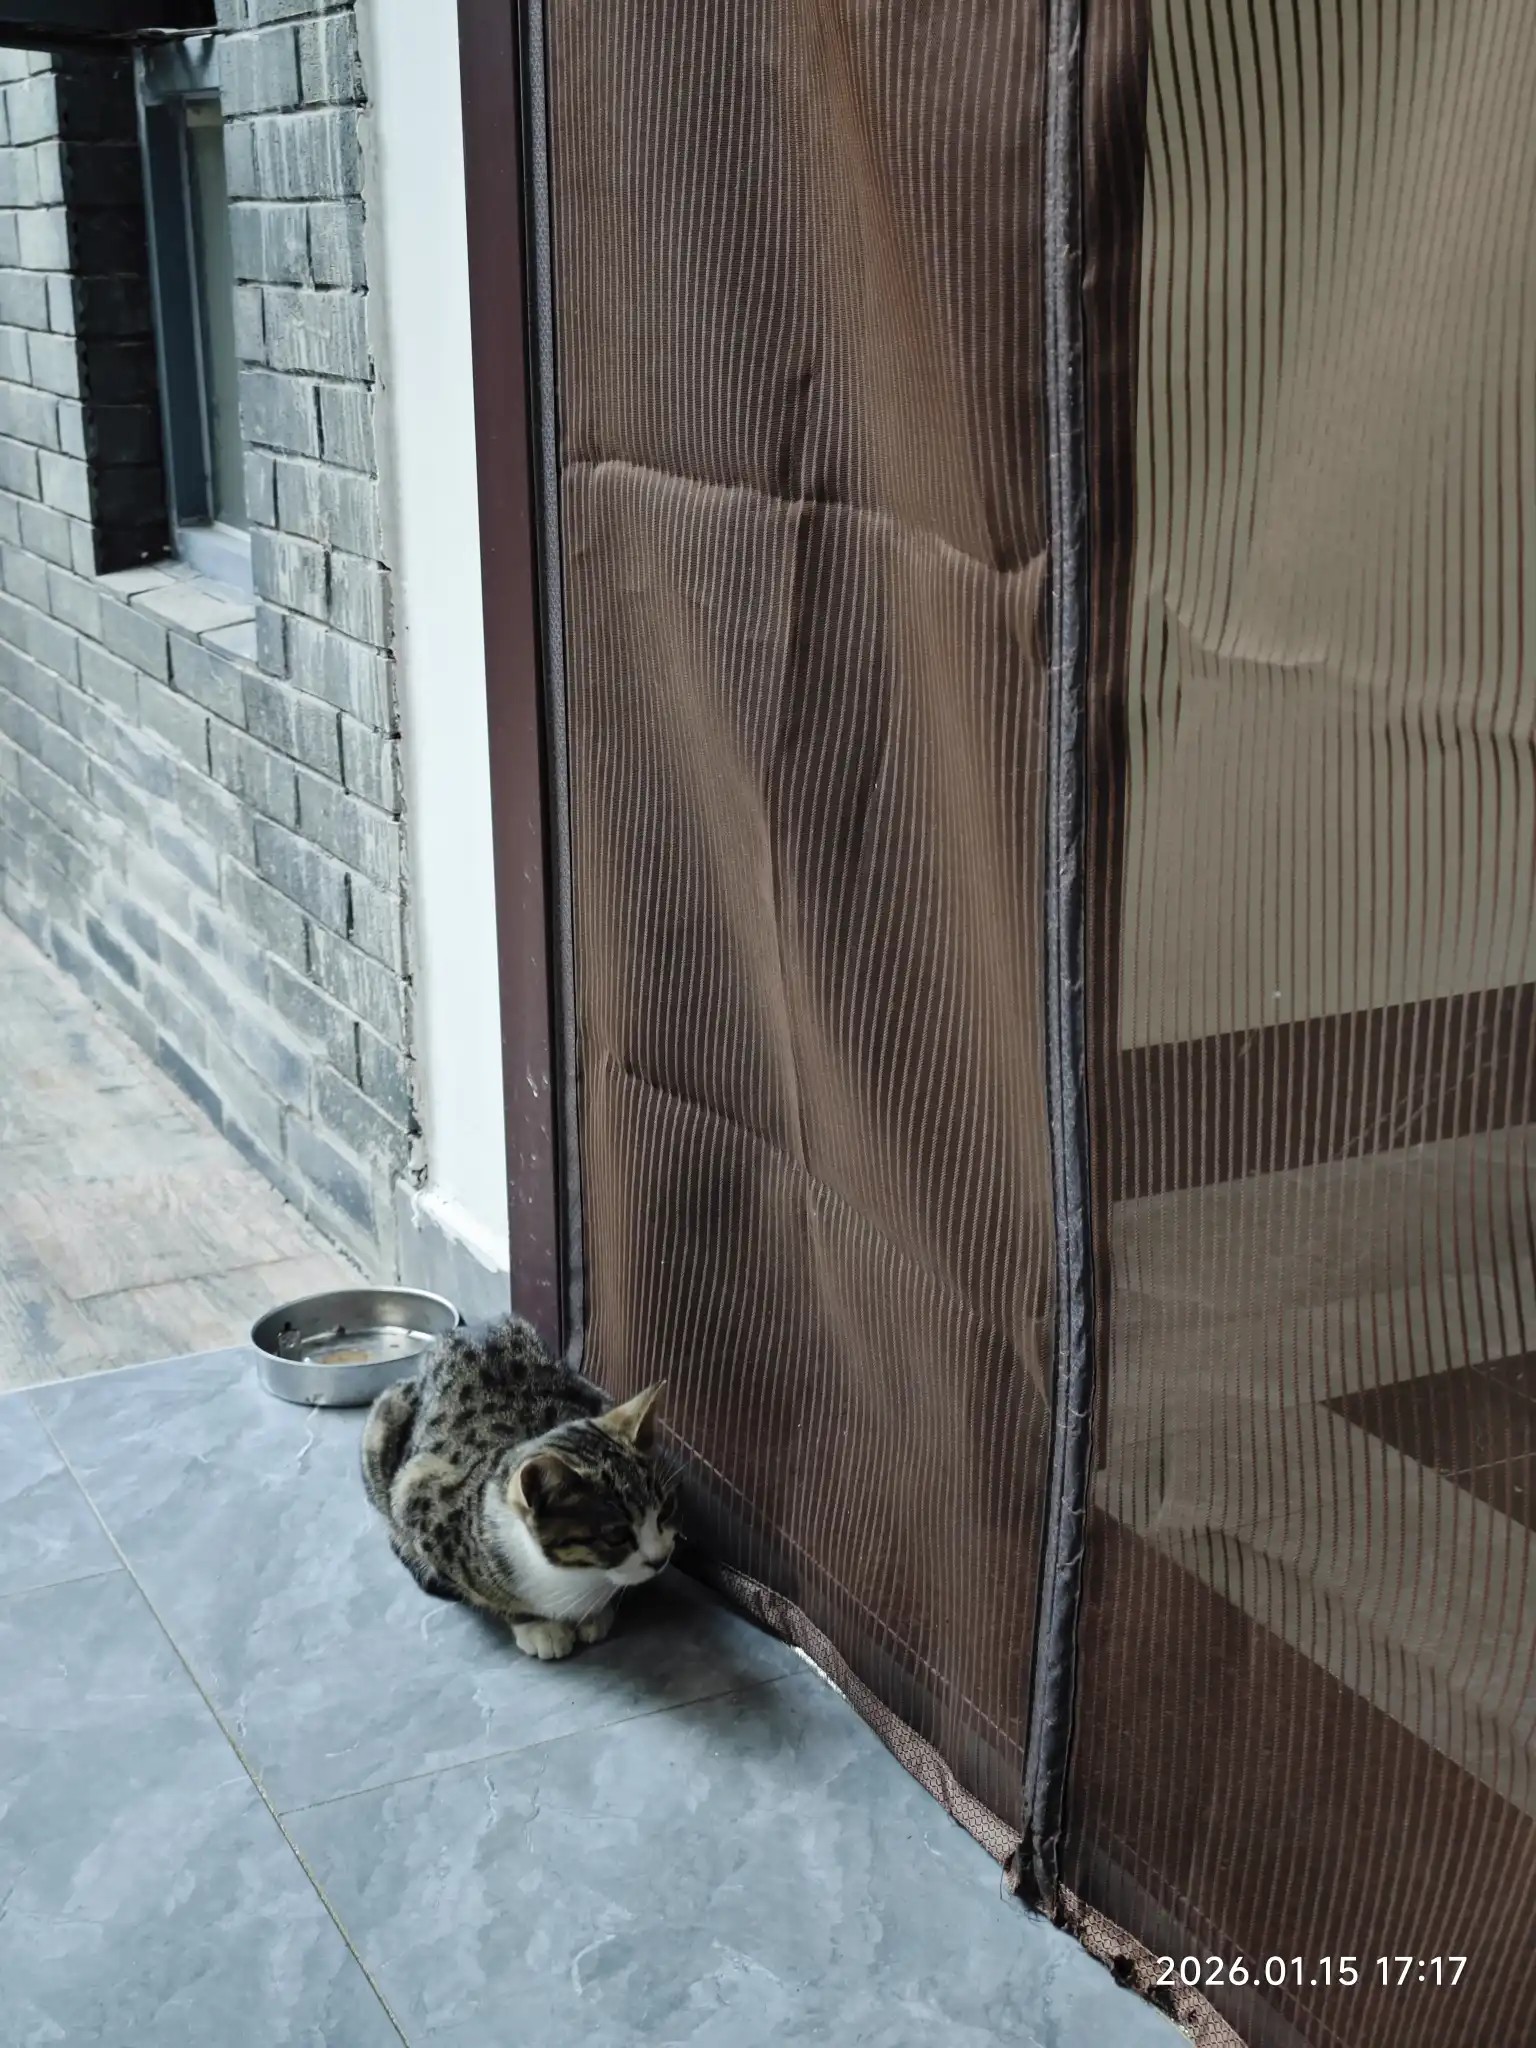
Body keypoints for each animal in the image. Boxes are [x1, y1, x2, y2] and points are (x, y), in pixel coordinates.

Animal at [360, 1315, 676, 1661]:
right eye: (616, 1535)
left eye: (665, 1512)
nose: (661, 1559)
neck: (576, 1577)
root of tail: (464, 1328)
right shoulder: (417, 1492)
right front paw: (537, 1625)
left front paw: (594, 1614)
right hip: (382, 1427)